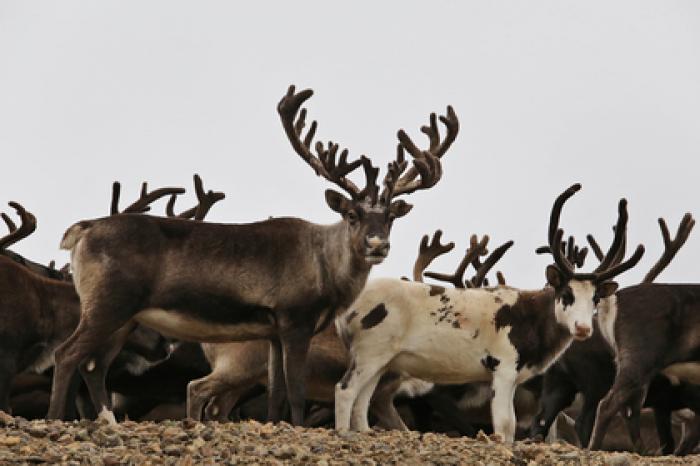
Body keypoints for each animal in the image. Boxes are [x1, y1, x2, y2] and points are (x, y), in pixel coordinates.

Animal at [46, 84, 456, 426]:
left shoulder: (271, 331)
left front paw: (276, 425)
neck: (325, 268)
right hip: (109, 302)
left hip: (125, 316)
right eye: (352, 215)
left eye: (389, 217)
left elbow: (275, 392)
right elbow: (296, 389)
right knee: (68, 354)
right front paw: (296, 426)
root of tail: (82, 229)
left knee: (94, 365)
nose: (377, 245)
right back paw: (55, 418)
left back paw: (106, 420)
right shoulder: (294, 319)